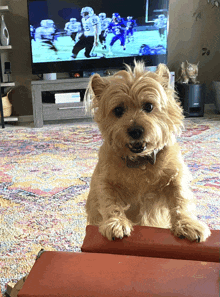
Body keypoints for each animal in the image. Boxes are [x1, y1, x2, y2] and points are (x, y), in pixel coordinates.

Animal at [84, 61, 210, 242]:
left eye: (149, 106)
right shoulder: (105, 182)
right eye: (118, 110)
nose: (135, 131)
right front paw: (116, 223)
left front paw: (188, 224)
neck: (140, 161)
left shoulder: (176, 177)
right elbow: (110, 202)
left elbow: (181, 198)